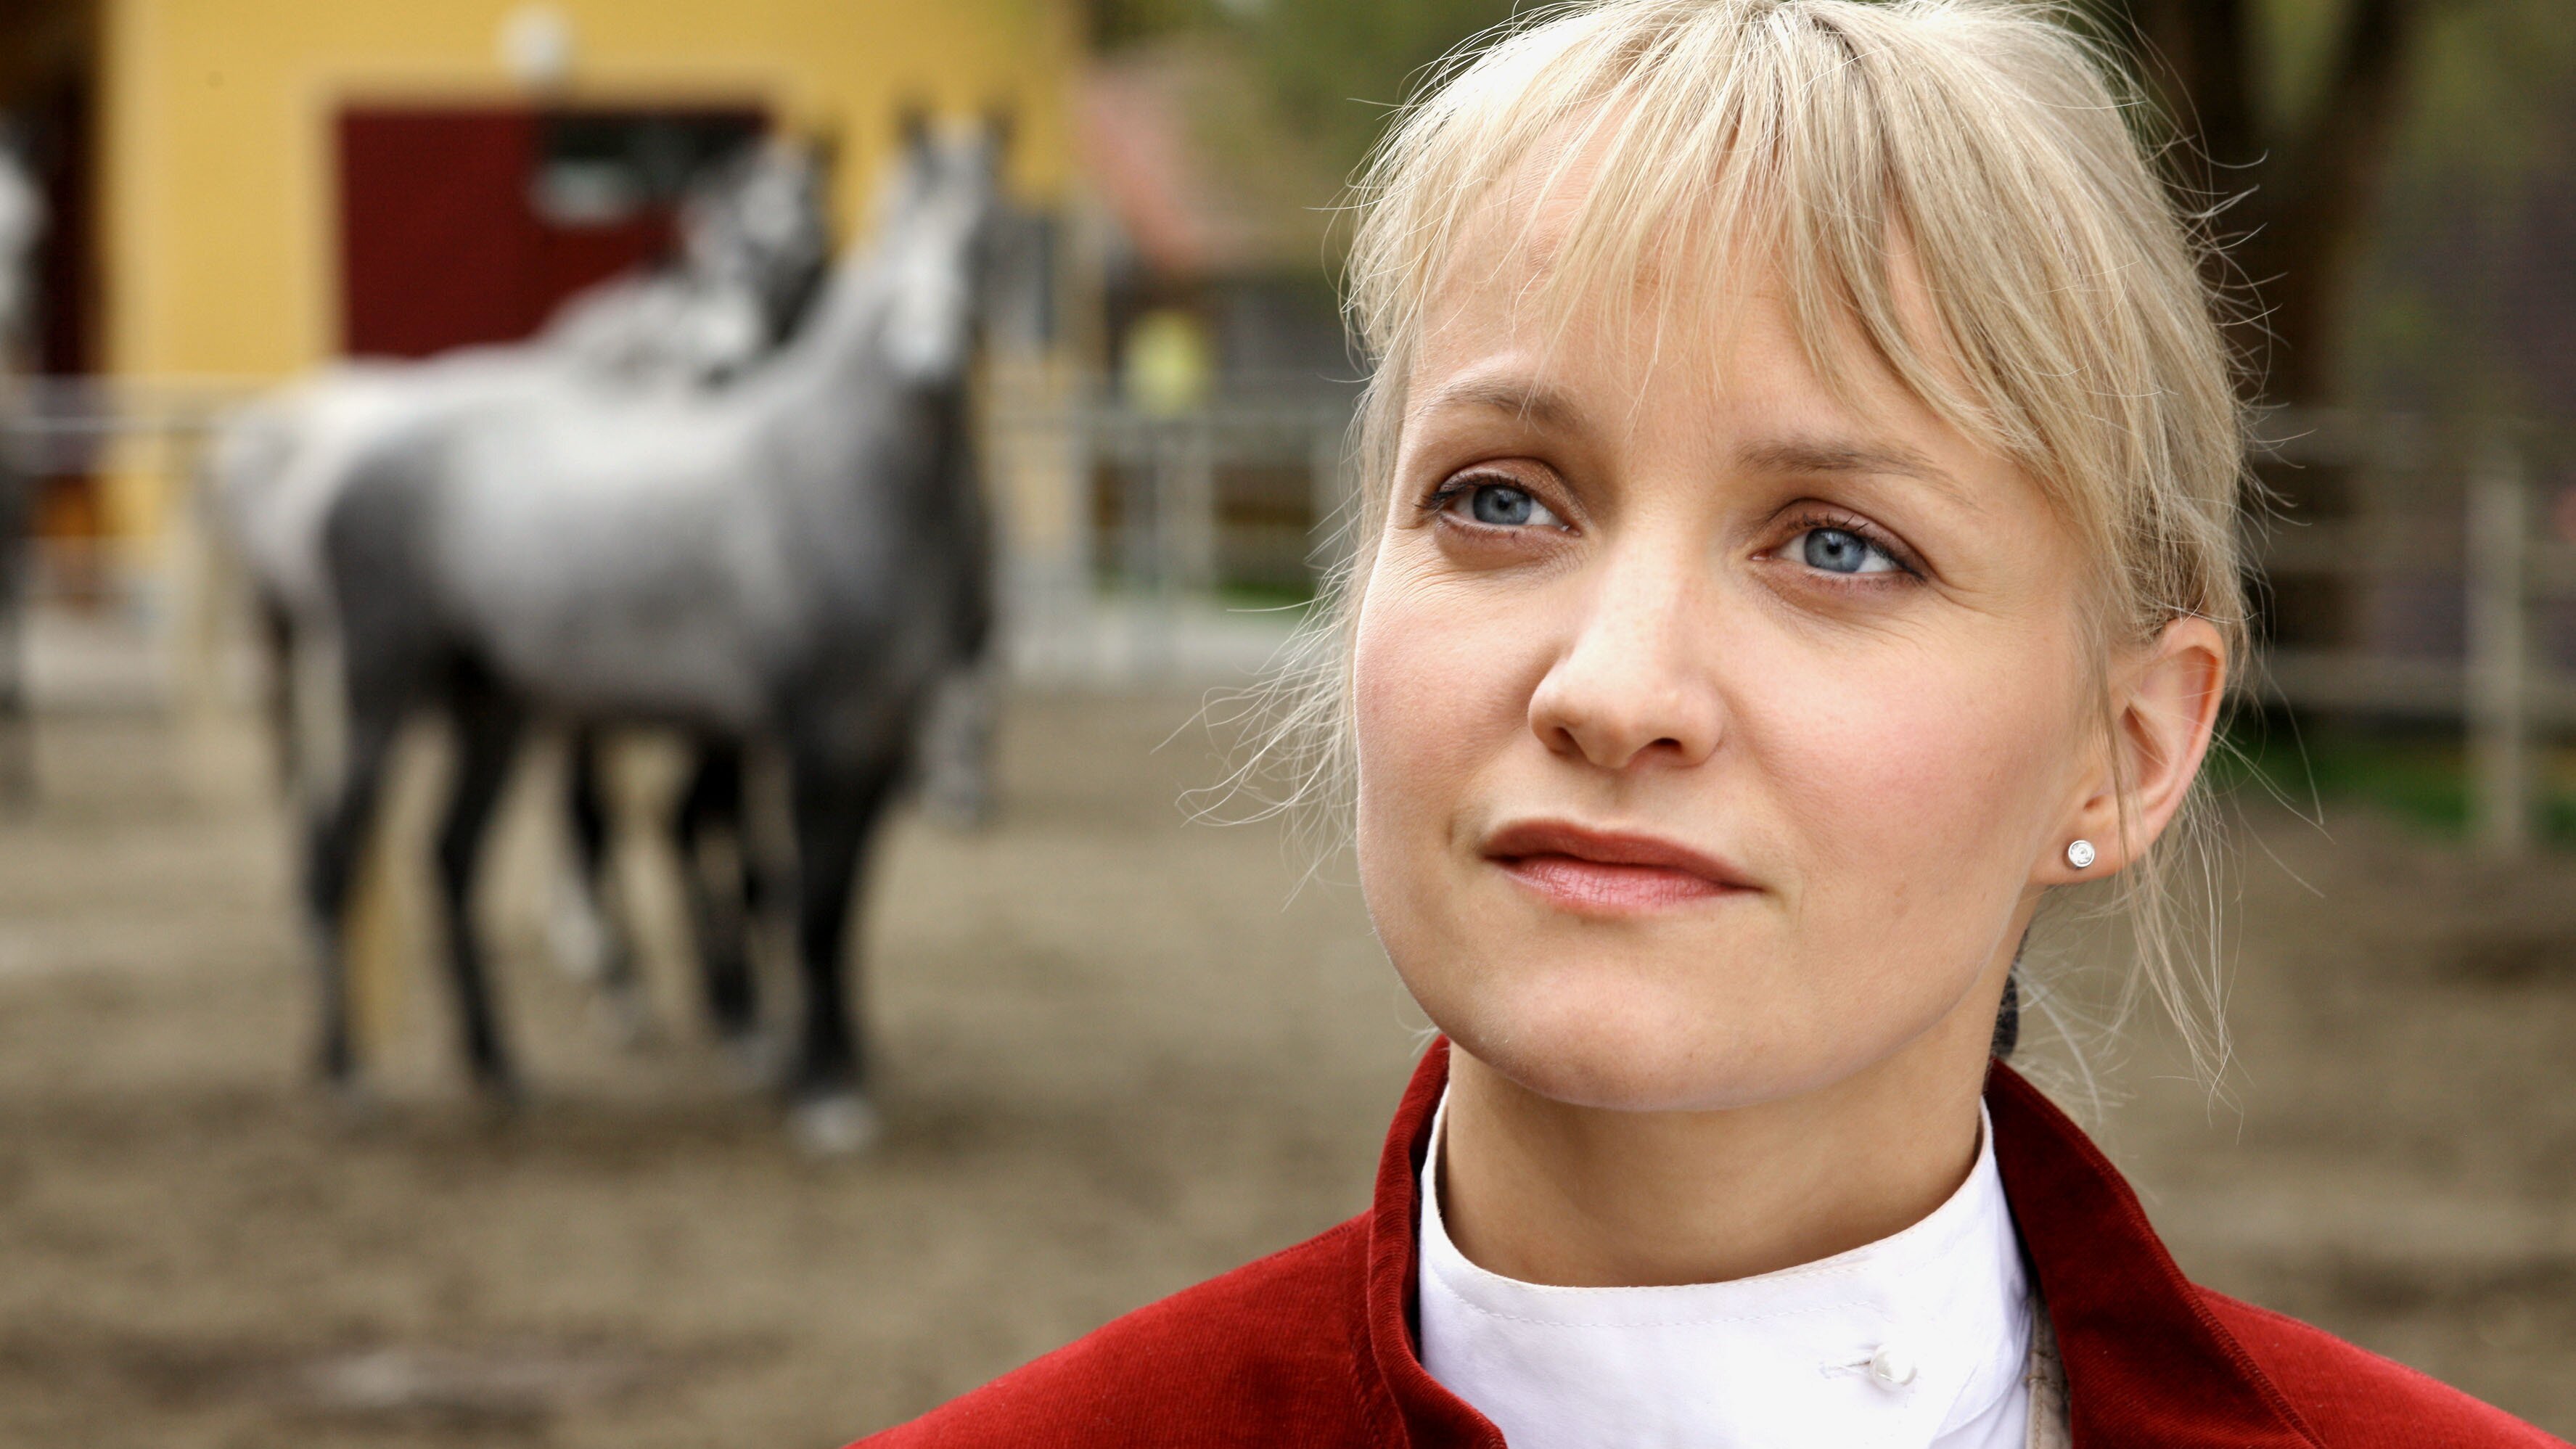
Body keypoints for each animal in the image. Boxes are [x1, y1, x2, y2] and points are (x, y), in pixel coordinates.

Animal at [312, 119, 1006, 1151]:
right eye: (893, 238)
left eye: (986, 244)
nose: (928, 364)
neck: (847, 476)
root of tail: (351, 465)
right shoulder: (811, 732)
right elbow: (804, 900)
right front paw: (817, 1088)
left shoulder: (883, 735)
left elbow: (843, 909)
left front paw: (839, 1057)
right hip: (385, 693)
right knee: (339, 847)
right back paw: (347, 1072)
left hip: (494, 708)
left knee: (451, 857)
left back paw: (500, 1067)